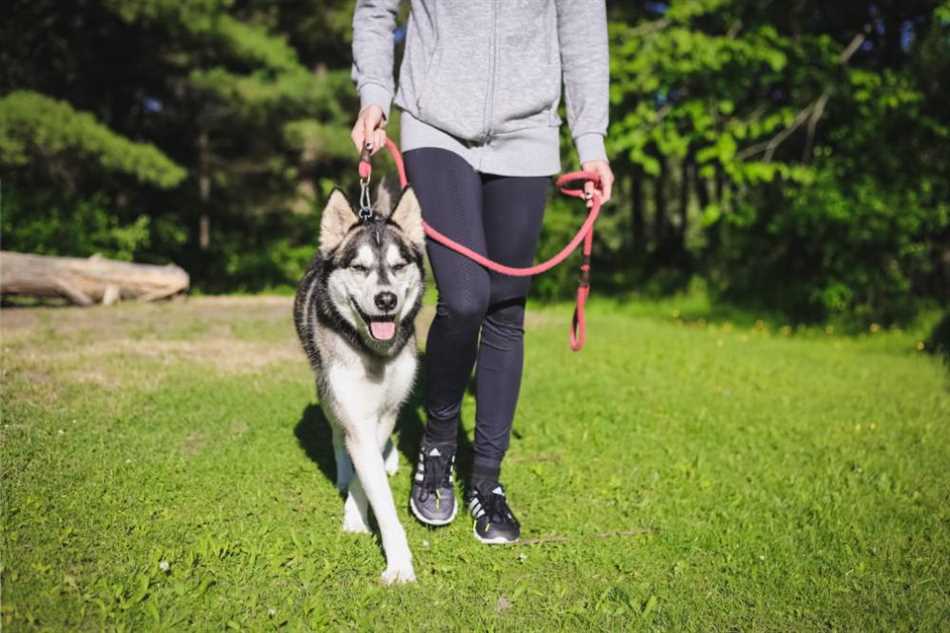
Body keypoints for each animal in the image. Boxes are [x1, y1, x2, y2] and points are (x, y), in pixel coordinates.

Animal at [290, 184, 424, 584]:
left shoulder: (385, 409)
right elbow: (376, 491)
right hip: (327, 393)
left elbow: (372, 471)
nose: (386, 299)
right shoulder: (353, 414)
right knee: (337, 437)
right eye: (359, 267)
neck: (376, 354)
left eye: (398, 266)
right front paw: (398, 564)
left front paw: (356, 507)